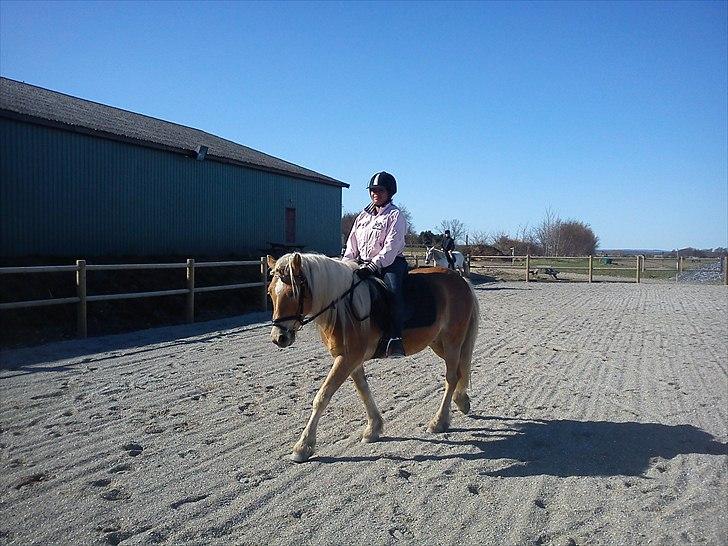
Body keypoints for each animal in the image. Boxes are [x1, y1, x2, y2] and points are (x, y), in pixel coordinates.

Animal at [264, 251, 480, 460]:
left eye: (292, 293)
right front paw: (373, 429)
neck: (344, 306)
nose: (279, 338)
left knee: (451, 378)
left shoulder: (347, 359)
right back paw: (462, 401)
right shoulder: (351, 360)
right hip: (438, 343)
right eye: (270, 293)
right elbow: (363, 390)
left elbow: (323, 396)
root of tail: (461, 280)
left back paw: (439, 422)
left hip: (452, 341)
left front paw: (303, 446)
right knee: (459, 372)